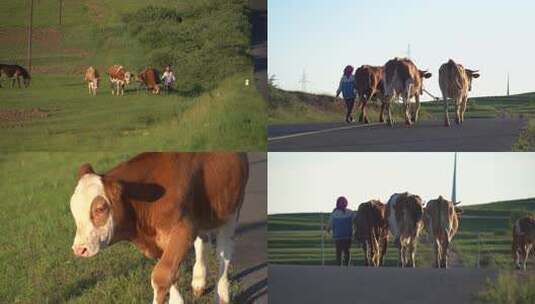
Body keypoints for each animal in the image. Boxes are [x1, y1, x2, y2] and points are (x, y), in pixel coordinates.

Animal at [68, 153, 249, 302]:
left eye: (100, 209)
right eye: (73, 208)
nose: (79, 249)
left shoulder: (183, 230)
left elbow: (162, 275)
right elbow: (171, 274)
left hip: (232, 211)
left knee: (223, 254)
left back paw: (222, 294)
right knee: (202, 243)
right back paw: (199, 281)